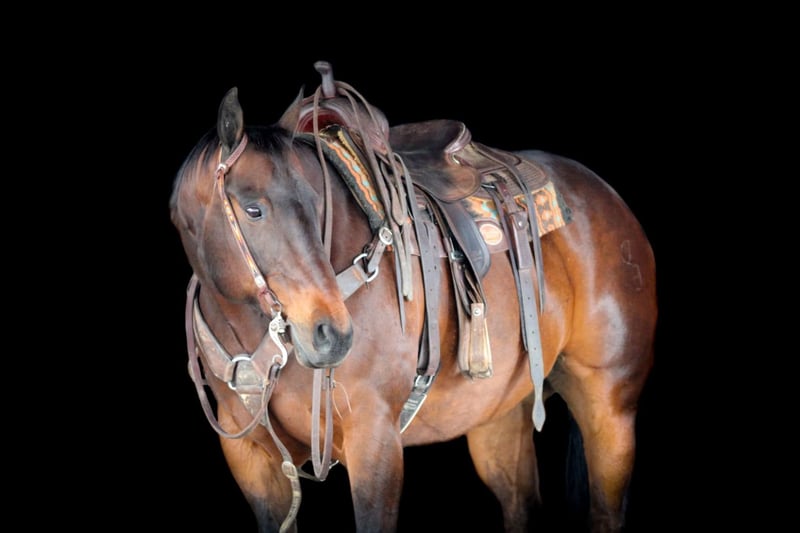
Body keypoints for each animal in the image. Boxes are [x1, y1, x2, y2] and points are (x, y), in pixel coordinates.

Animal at [169, 61, 656, 532]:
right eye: (253, 210)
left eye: (317, 203)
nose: (332, 334)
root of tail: (608, 200)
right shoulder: (253, 461)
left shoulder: (375, 442)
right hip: (498, 415)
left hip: (609, 406)